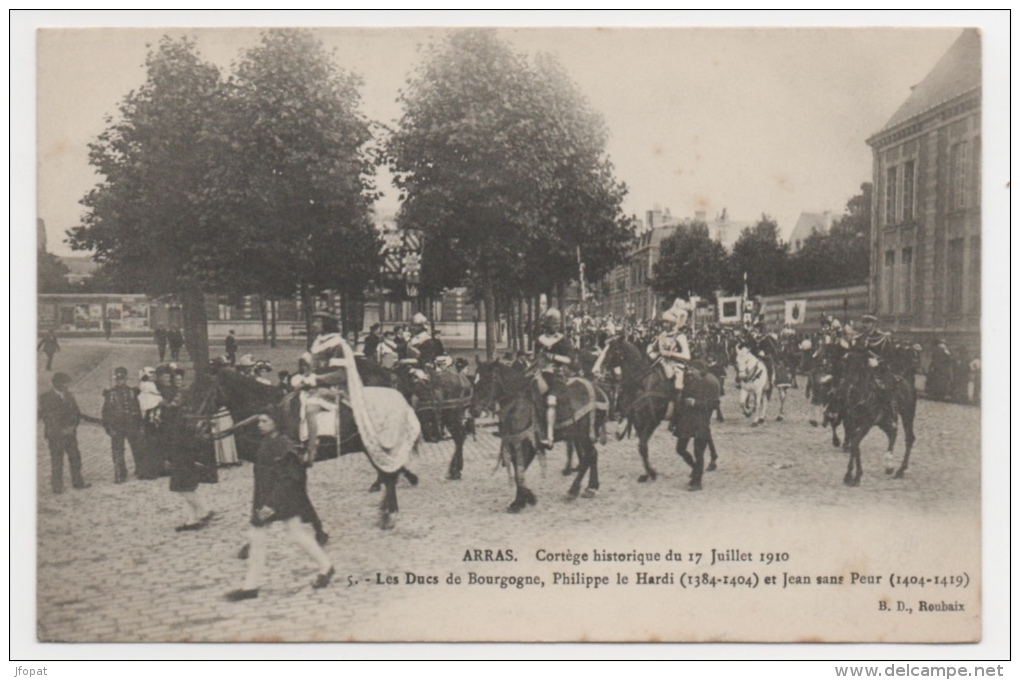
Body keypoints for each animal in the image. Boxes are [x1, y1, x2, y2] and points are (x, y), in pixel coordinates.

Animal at [471, 360, 603, 499]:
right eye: (474, 382)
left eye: (485, 382)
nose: (473, 410)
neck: (517, 401)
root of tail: (600, 392)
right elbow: (518, 469)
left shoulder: (525, 442)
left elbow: (520, 469)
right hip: (578, 435)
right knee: (589, 455)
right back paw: (590, 486)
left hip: (584, 434)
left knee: (590, 454)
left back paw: (577, 488)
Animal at [836, 348, 918, 487]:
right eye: (843, 365)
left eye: (859, 369)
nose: (842, 391)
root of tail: (907, 383)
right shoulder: (852, 424)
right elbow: (855, 446)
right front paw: (850, 475)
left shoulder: (866, 425)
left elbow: (855, 445)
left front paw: (856, 476)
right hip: (883, 421)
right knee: (892, 433)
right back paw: (889, 466)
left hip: (907, 415)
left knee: (909, 438)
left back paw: (900, 470)